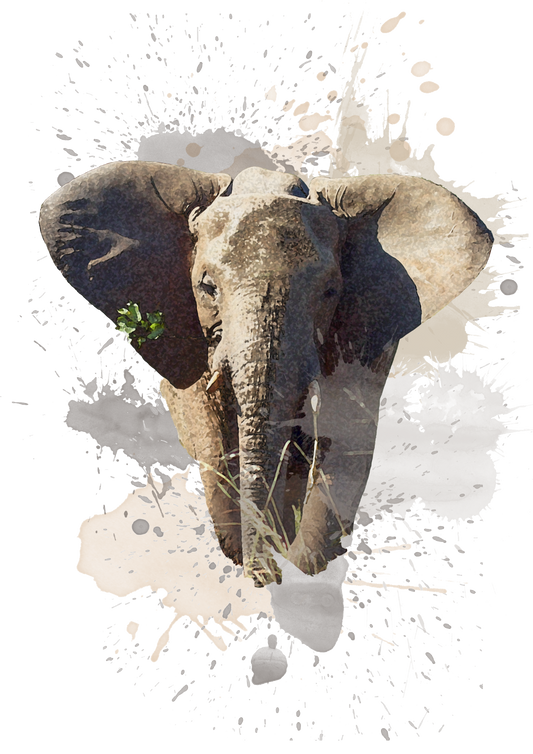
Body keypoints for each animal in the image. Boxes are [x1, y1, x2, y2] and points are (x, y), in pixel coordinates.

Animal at [38, 160, 493, 590]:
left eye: (330, 291)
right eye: (207, 287)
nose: (269, 575)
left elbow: (345, 432)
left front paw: (298, 564)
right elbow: (212, 436)